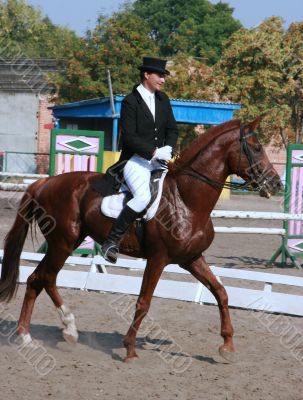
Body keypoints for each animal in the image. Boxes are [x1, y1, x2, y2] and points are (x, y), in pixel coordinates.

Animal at [0, 117, 282, 360]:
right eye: (257, 148)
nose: (276, 184)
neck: (187, 199)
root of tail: (44, 183)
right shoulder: (158, 259)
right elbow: (143, 302)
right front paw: (130, 349)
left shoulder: (191, 258)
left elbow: (220, 292)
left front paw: (227, 345)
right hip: (63, 243)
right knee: (46, 277)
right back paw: (68, 329)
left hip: (68, 242)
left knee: (37, 279)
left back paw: (26, 336)